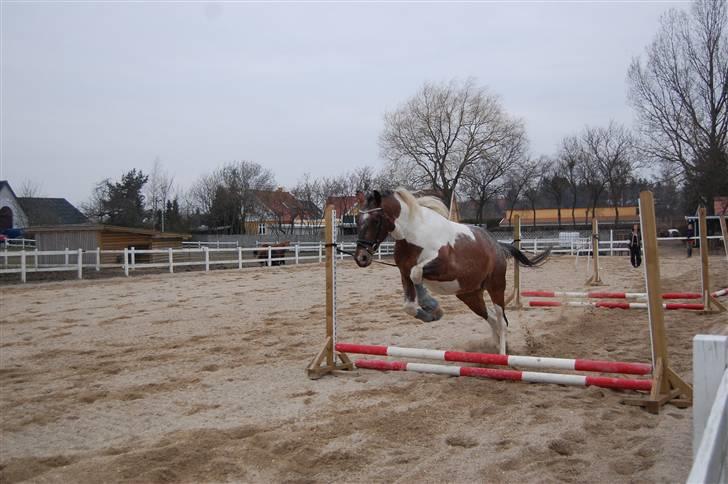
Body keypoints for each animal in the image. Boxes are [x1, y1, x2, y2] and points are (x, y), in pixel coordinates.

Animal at [352, 190, 544, 356]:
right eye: (358, 220)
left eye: (376, 220)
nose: (361, 257)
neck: (414, 234)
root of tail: (497, 245)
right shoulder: (404, 273)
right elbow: (409, 304)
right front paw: (431, 313)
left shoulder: (444, 269)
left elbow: (417, 273)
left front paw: (431, 306)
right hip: (469, 295)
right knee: (490, 317)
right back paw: (496, 347)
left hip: (496, 287)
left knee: (502, 320)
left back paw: (502, 355)